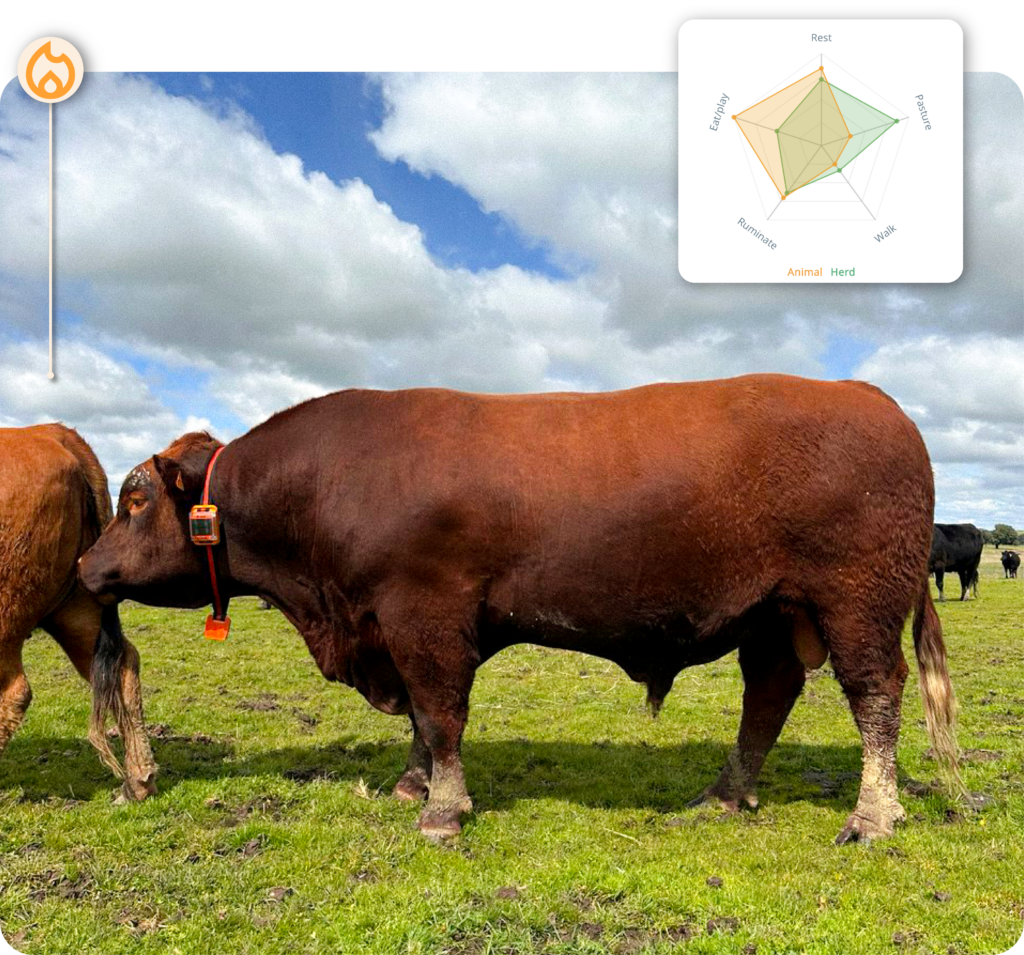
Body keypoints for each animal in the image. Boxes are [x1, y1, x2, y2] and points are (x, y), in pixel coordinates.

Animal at [79, 374, 963, 845]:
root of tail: (873, 398)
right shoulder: (397, 628)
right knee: (768, 700)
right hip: (775, 616)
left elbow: (440, 713)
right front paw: (412, 785)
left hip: (856, 603)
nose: (86, 565)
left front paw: (442, 809)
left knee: (876, 701)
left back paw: (872, 817)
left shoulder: (425, 616)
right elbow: (421, 720)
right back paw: (724, 792)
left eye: (135, 498)